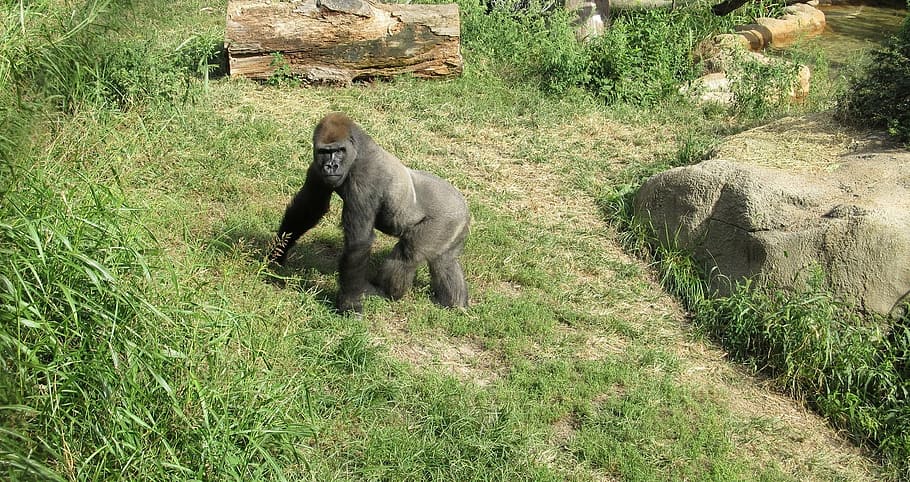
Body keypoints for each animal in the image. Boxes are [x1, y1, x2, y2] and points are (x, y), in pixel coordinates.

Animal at [270, 112, 470, 314]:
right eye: (324, 152)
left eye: (339, 150)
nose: (331, 166)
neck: (359, 150)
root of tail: (464, 206)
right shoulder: (317, 169)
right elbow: (308, 209)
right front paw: (277, 254)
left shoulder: (365, 178)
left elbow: (358, 243)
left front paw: (349, 303)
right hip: (455, 225)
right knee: (445, 261)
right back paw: (454, 303)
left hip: (444, 219)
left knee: (407, 255)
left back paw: (384, 292)